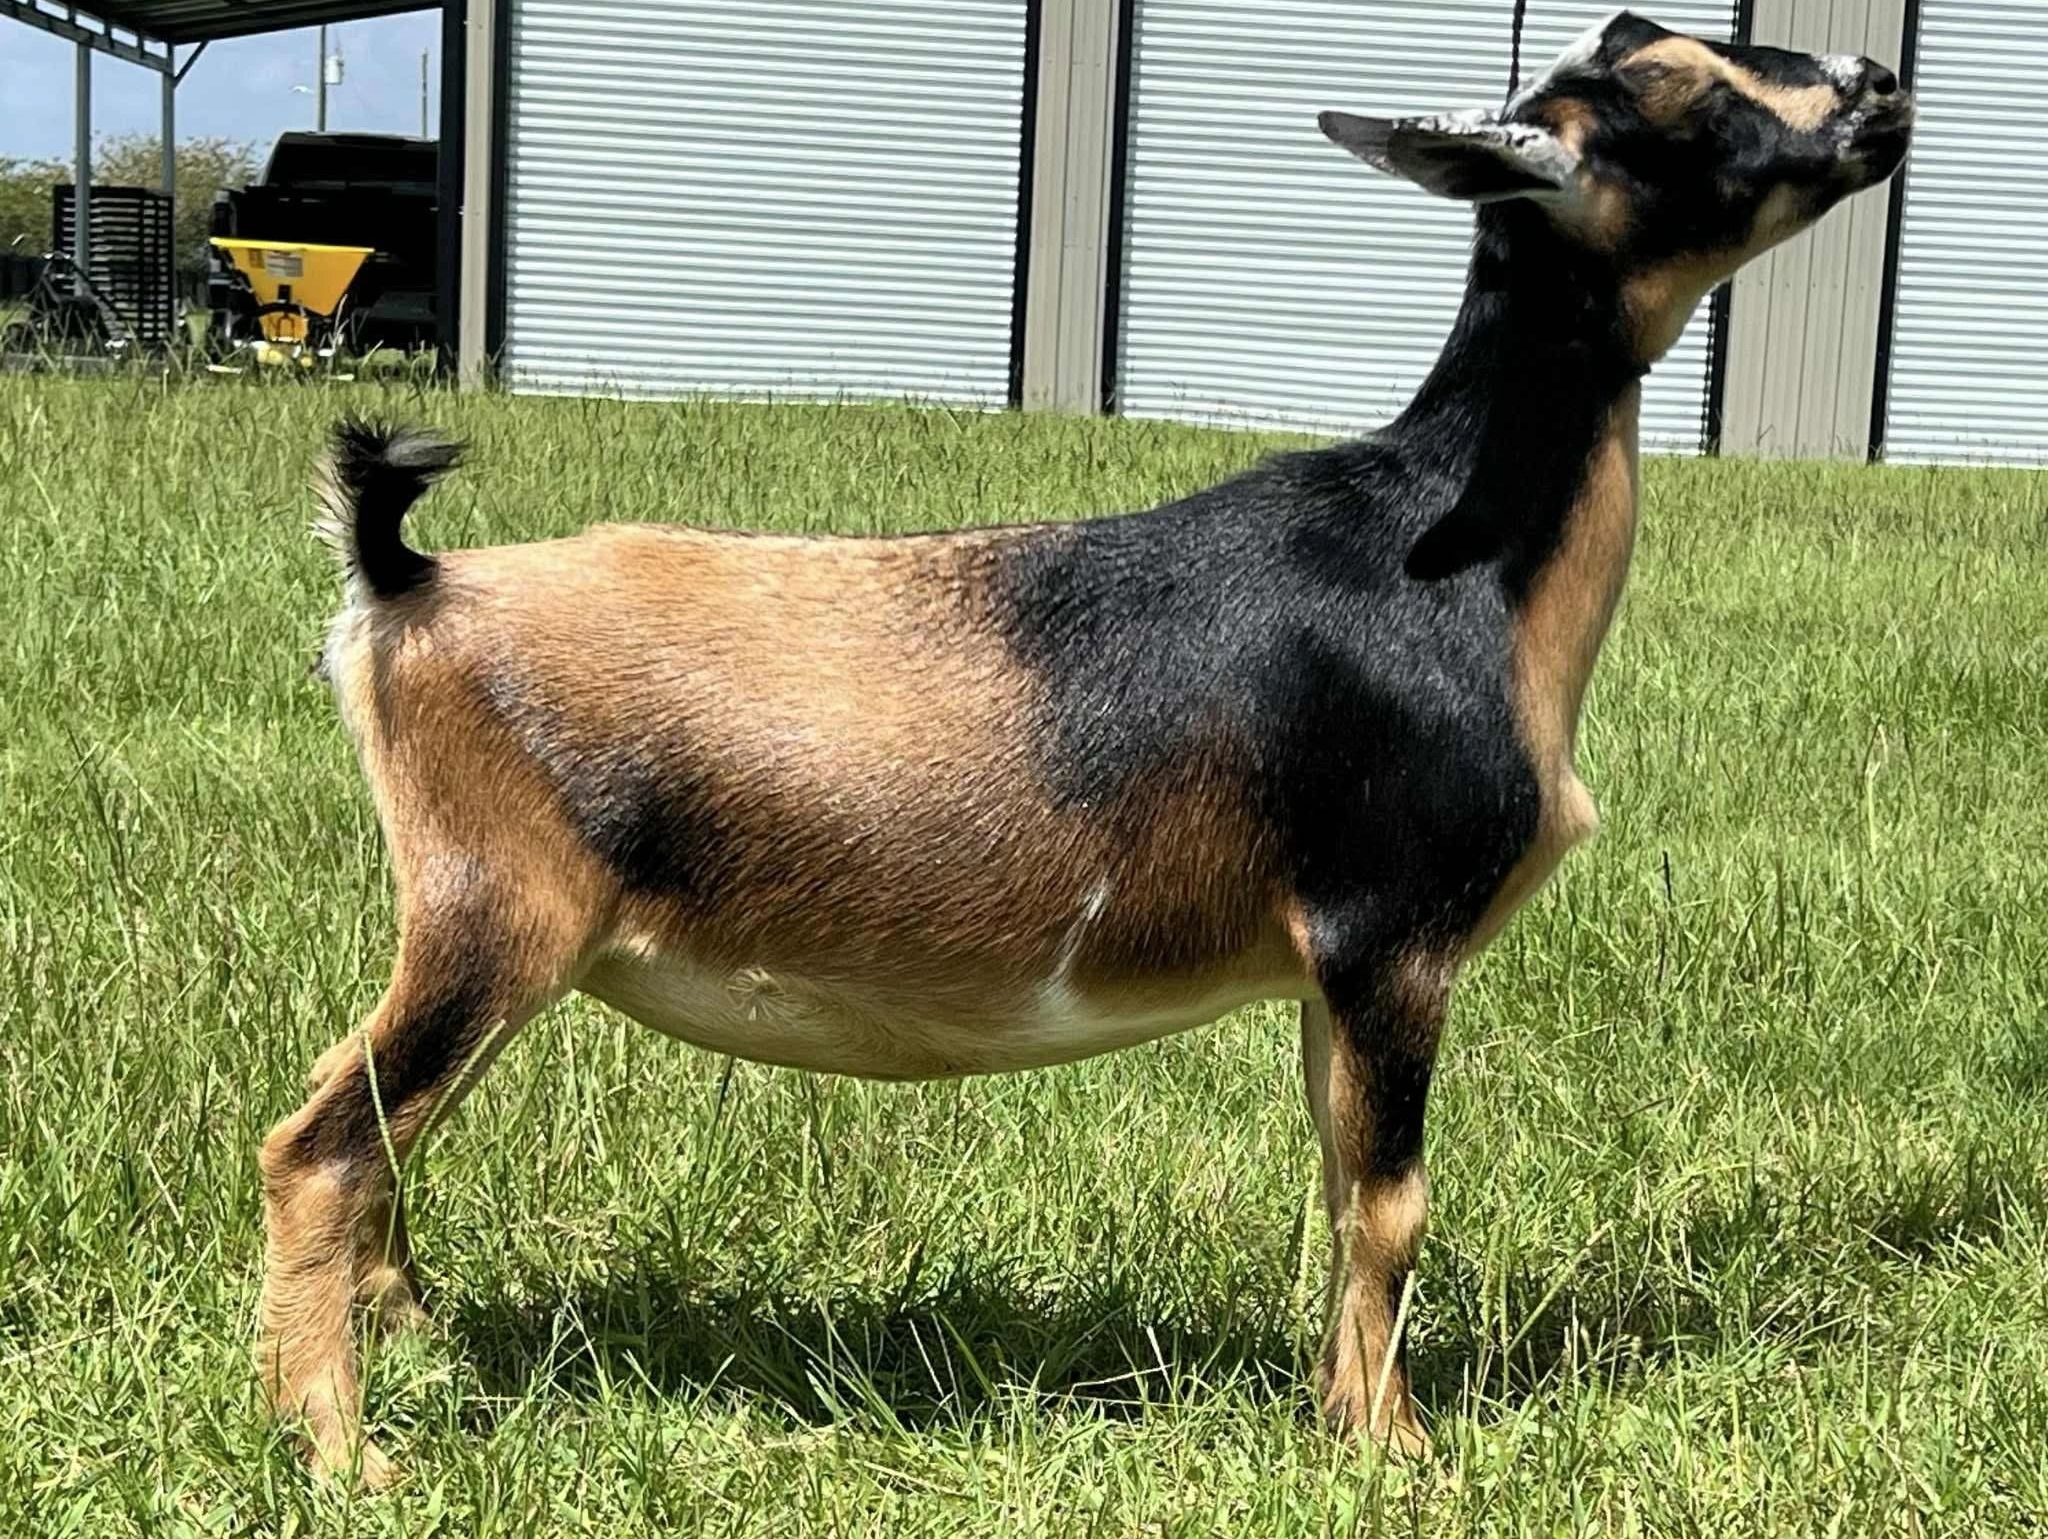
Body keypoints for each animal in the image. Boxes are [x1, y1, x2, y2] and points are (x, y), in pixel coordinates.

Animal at [260, 11, 1913, 1485]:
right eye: (1677, 103)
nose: (1879, 84)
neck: (1447, 557)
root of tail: (411, 586)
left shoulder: (1330, 971)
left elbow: (1340, 1187)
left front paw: (1342, 1418)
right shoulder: (1392, 934)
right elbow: (1394, 1203)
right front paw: (1402, 1453)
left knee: (375, 1129)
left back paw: (415, 1349)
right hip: (494, 912)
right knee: (324, 1143)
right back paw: (346, 1453)